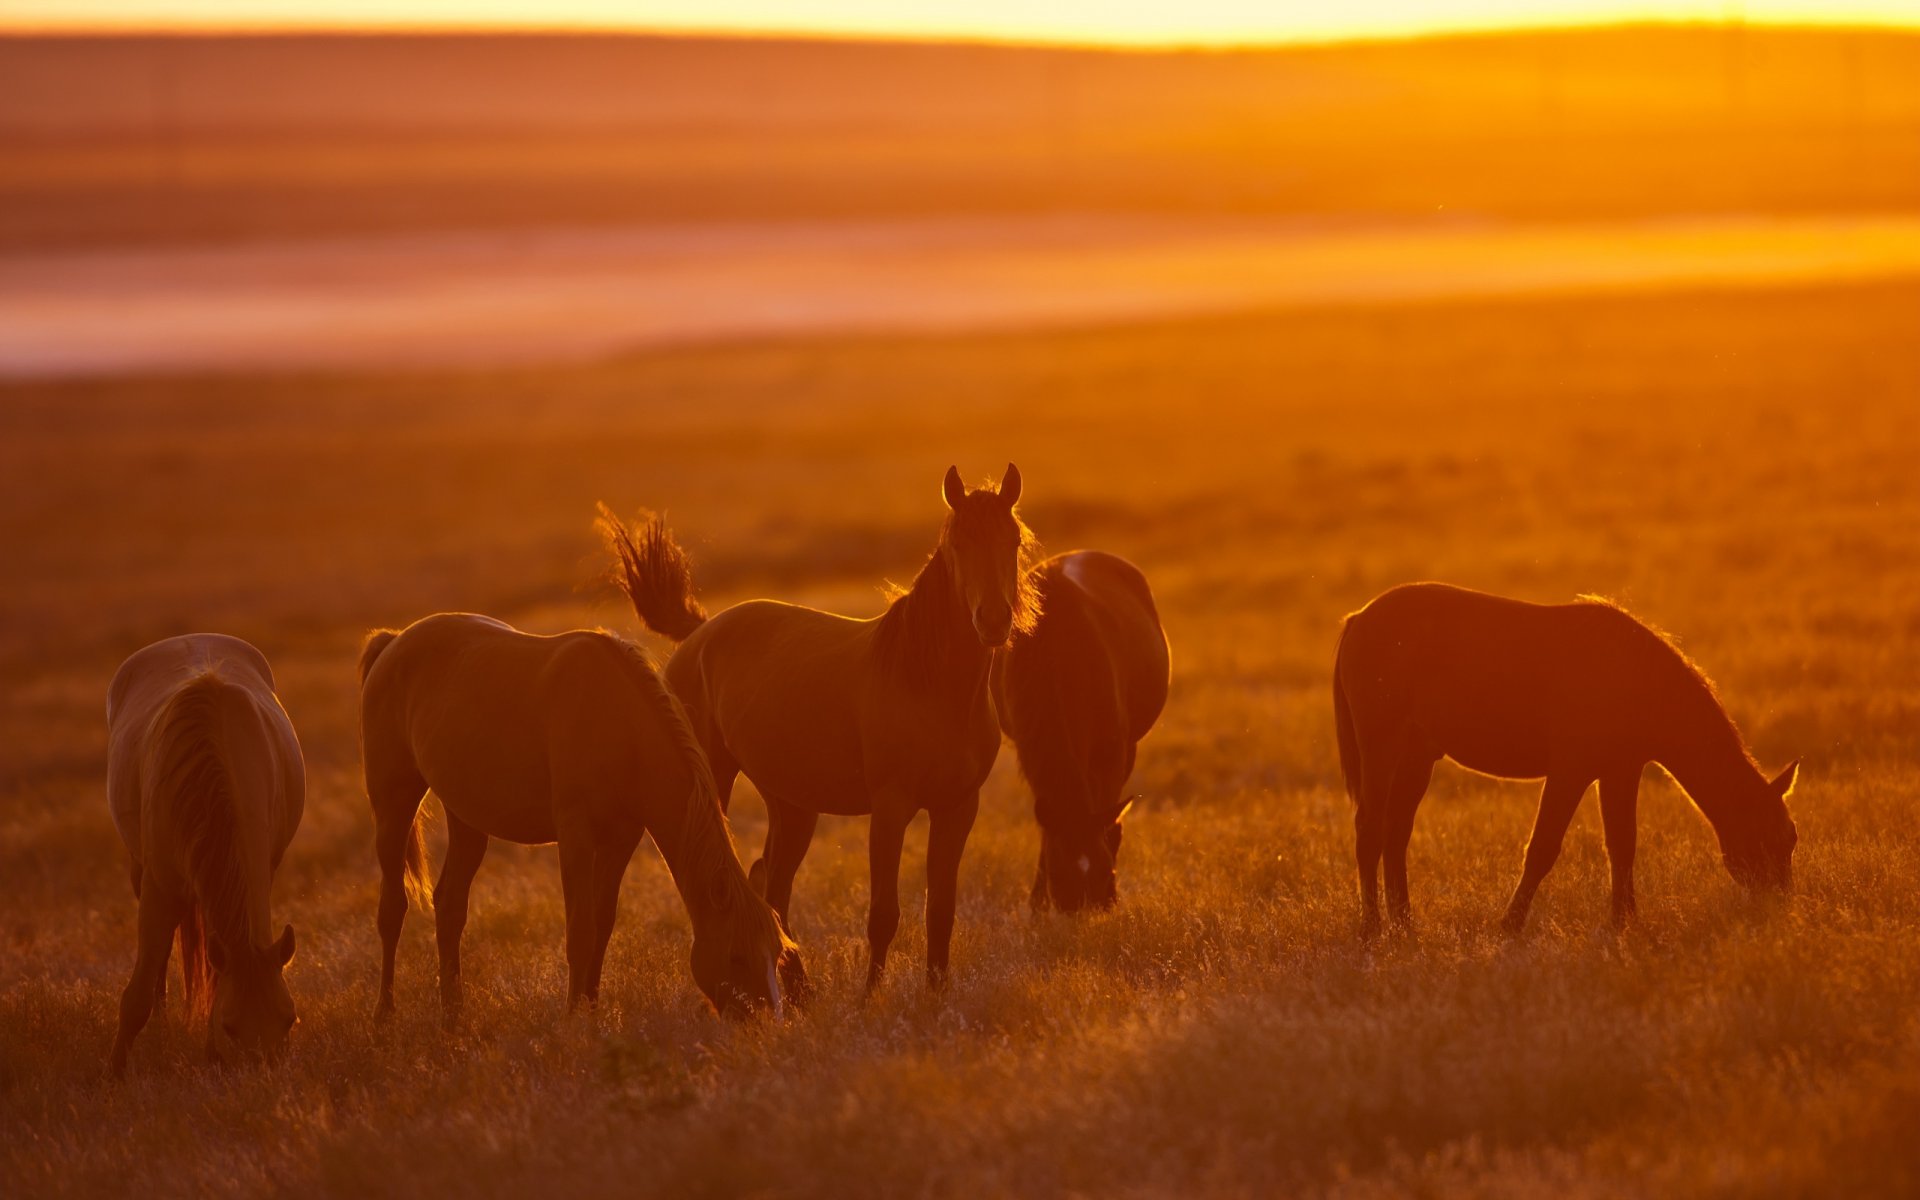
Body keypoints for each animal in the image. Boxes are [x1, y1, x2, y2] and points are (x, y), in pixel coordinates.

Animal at [105, 634, 304, 1077]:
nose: (263, 1076)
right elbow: (137, 993)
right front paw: (115, 1074)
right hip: (140, 873)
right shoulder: (160, 886)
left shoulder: (260, 869)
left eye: (289, 1019)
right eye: (230, 1026)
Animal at [357, 613, 802, 1024]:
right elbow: (580, 930)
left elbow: (602, 925)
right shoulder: (575, 836)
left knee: (449, 905)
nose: (765, 1021)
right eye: (737, 955)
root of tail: (393, 642)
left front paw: (591, 1007)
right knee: (392, 909)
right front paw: (573, 1017)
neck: (620, 725)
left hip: (466, 817)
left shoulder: (621, 838)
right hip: (393, 805)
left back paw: (453, 1014)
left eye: (776, 952)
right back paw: (384, 1015)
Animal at [601, 464, 1037, 990]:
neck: (930, 685)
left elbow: (941, 912)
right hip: (718, 782)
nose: (992, 621)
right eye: (958, 542)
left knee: (772, 882)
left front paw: (936, 995)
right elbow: (884, 913)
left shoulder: (957, 807)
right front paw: (870, 998)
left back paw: (800, 989)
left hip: (792, 805)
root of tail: (700, 632)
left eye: (1013, 540)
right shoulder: (891, 807)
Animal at [992, 550, 1170, 912]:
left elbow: (1108, 811)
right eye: (1058, 872)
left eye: (1105, 870)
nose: (1080, 905)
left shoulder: (1113, 748)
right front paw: (1037, 902)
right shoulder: (1028, 748)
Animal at [1333, 582, 1800, 937]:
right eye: (1777, 838)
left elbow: (1623, 845)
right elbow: (1543, 848)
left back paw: (1405, 926)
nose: (1782, 907)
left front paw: (1624, 924)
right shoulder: (1570, 771)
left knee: (1396, 834)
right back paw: (1373, 929)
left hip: (1417, 757)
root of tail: (1359, 618)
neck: (1637, 678)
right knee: (1370, 829)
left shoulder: (1620, 771)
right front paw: (1509, 925)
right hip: (1381, 747)